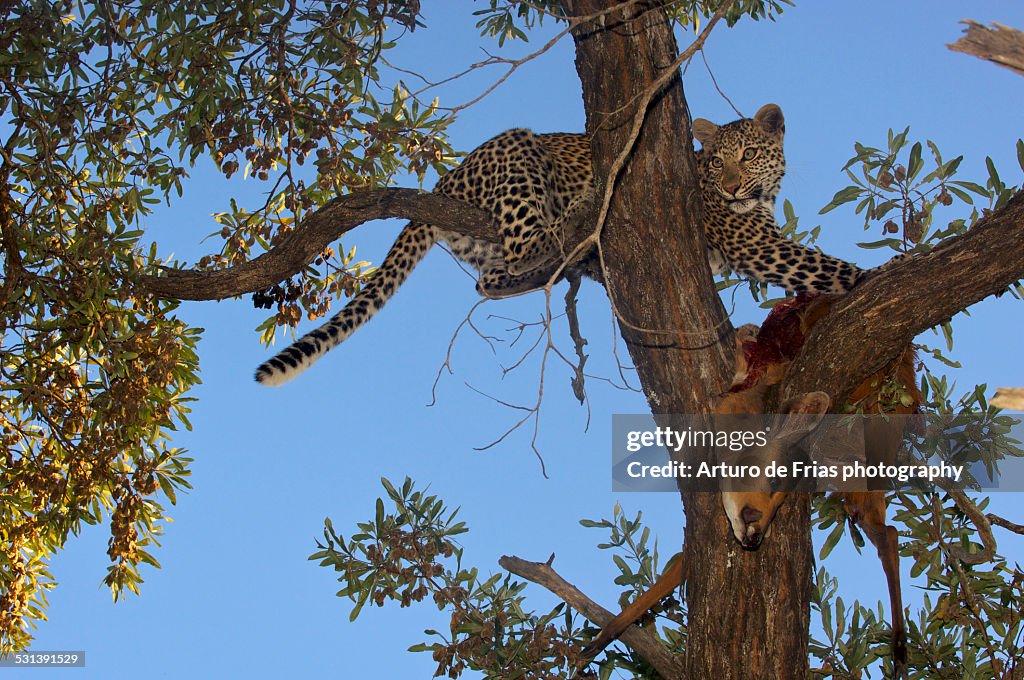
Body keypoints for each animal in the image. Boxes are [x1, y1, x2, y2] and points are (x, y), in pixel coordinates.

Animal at [254, 103, 865, 386]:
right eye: (718, 162)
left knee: (491, 281)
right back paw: (583, 212)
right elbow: (833, 269)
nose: (733, 186)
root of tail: (444, 183)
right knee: (526, 245)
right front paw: (878, 277)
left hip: (490, 251)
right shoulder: (756, 243)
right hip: (520, 151)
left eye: (748, 155)